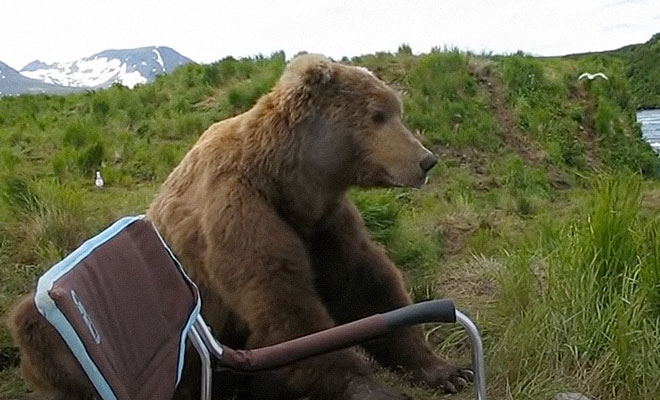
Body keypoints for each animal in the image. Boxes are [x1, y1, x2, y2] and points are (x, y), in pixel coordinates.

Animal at [7, 54, 472, 400]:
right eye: (378, 115)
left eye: (397, 110)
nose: (425, 160)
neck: (288, 180)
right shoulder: (239, 211)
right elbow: (285, 308)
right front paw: (372, 387)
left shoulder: (322, 221)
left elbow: (365, 283)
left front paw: (446, 370)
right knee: (35, 326)